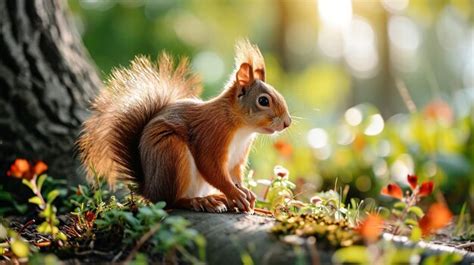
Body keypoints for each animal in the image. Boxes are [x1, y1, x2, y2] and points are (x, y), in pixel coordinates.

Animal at [76, 39, 290, 212]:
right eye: (263, 101)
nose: (287, 123)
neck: (242, 129)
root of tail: (149, 189)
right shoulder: (211, 134)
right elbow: (212, 168)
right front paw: (235, 193)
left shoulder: (237, 157)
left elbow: (235, 175)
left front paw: (245, 192)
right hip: (171, 153)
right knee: (171, 201)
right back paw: (200, 201)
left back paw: (216, 198)